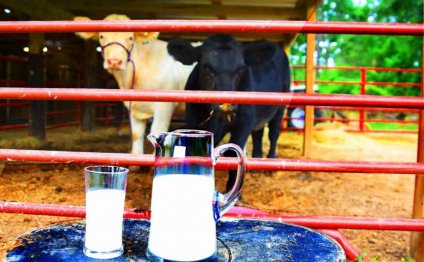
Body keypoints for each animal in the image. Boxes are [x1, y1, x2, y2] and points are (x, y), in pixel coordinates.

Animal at [75, 14, 195, 157]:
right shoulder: (134, 107)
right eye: (101, 36)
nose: (114, 62)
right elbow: (136, 134)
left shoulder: (165, 106)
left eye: (130, 37)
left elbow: (157, 130)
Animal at [167, 34, 290, 190]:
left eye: (240, 70)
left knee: (274, 132)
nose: (227, 105)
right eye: (206, 68)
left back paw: (271, 161)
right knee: (258, 133)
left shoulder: (244, 122)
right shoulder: (193, 121)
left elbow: (234, 154)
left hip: (281, 106)